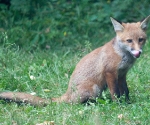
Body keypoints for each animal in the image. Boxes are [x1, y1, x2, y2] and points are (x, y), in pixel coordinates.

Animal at [0, 15, 150, 106]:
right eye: (129, 41)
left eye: (141, 40)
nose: (138, 52)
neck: (122, 55)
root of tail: (68, 93)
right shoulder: (110, 73)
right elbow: (115, 93)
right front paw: (118, 105)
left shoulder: (122, 74)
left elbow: (125, 91)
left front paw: (128, 103)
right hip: (94, 88)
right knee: (74, 103)